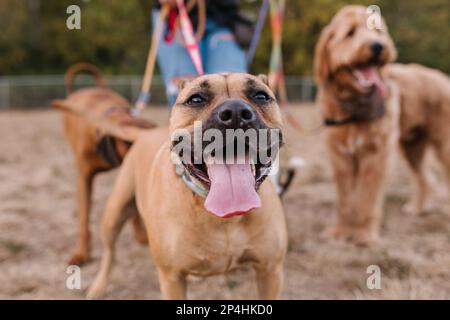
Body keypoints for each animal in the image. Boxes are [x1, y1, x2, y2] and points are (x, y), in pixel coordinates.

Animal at [314, 5, 400, 244]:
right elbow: (345, 200)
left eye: (378, 31)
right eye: (350, 33)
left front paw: (364, 234)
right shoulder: (340, 157)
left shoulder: (374, 157)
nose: (378, 46)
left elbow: (367, 199)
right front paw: (341, 232)